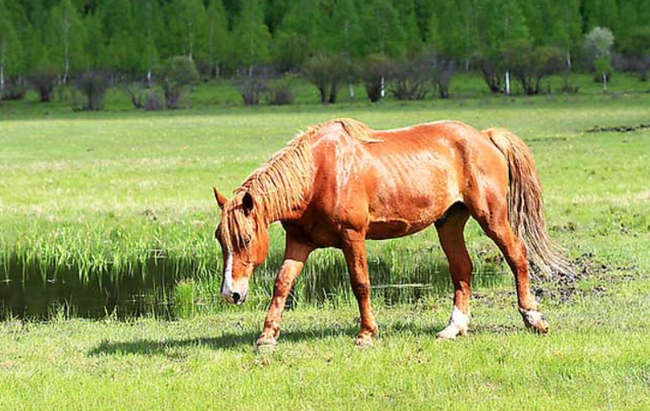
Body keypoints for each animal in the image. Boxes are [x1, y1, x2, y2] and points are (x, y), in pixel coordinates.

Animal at [210, 117, 568, 350]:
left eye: (244, 240)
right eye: (221, 240)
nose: (231, 294)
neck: (317, 173)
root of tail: (485, 136)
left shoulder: (353, 237)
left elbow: (360, 284)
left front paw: (366, 333)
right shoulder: (300, 242)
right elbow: (282, 285)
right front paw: (267, 336)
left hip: (491, 217)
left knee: (517, 255)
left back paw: (533, 318)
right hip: (449, 223)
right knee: (462, 269)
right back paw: (454, 328)